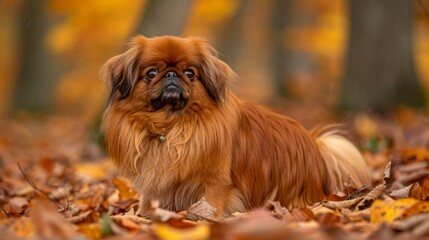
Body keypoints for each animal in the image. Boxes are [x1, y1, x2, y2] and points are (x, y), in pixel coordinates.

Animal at [99, 35, 368, 216]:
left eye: (190, 73)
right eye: (152, 73)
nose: (172, 75)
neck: (172, 124)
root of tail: (318, 150)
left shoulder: (215, 182)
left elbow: (211, 202)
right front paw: (145, 215)